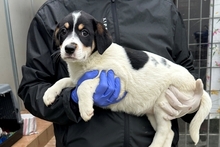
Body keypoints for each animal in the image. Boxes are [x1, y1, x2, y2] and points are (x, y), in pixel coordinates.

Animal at [42, 10, 211, 147]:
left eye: (84, 33)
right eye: (63, 31)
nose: (69, 48)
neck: (89, 60)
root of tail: (194, 84)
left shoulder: (117, 79)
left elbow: (85, 84)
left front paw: (85, 109)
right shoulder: (77, 78)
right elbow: (64, 81)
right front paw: (49, 94)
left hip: (163, 102)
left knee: (165, 131)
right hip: (152, 111)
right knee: (169, 133)